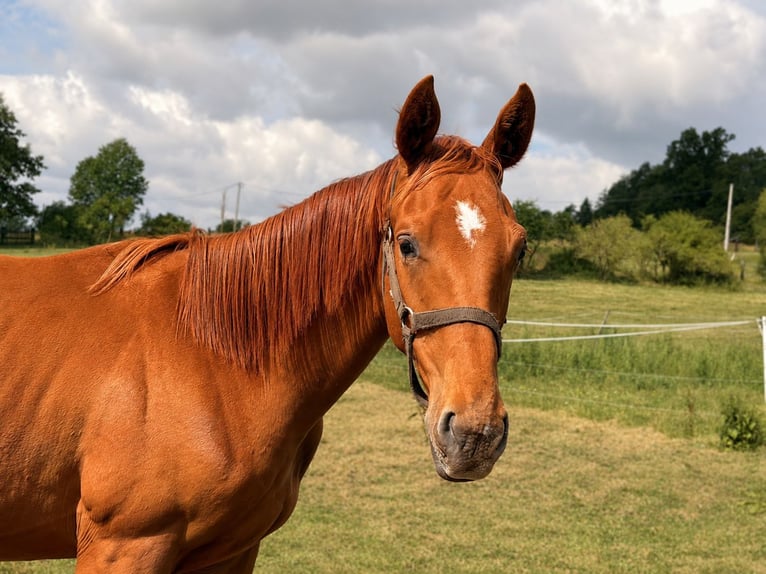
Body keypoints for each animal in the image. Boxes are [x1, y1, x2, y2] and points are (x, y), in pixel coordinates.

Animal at [0, 75, 534, 572]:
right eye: (406, 243)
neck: (215, 358)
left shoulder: (233, 551)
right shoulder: (123, 548)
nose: (475, 434)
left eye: (520, 249)